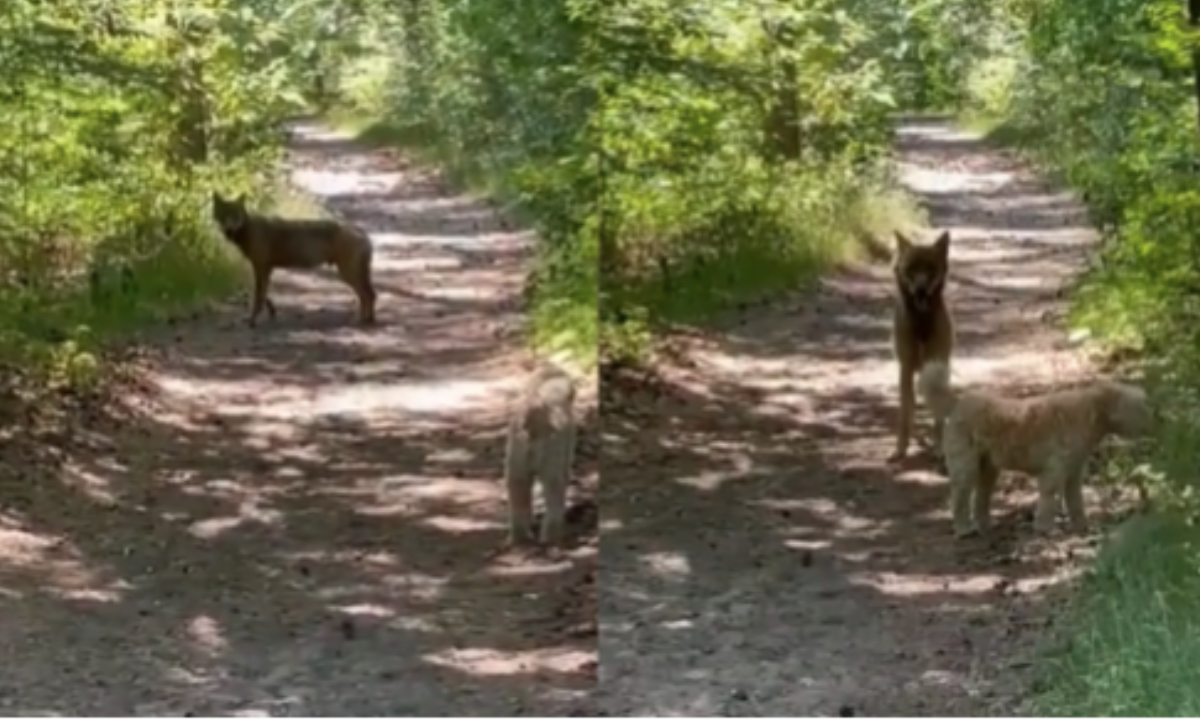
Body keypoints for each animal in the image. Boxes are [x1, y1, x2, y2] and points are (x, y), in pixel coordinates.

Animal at [211, 190, 376, 326]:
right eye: (223, 215)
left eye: (235, 216)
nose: (228, 230)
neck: (248, 229)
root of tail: (361, 231)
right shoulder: (266, 268)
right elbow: (263, 294)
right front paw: (270, 312)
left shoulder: (260, 267)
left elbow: (257, 296)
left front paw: (252, 320)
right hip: (353, 273)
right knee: (371, 295)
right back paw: (368, 319)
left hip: (348, 273)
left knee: (367, 295)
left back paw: (360, 320)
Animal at [504, 362, 578, 549]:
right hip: (550, 454)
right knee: (554, 487)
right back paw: (553, 537)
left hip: (517, 454)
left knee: (517, 486)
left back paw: (520, 537)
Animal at [892, 228, 955, 460]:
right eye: (911, 268)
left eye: (930, 268)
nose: (920, 289)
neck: (921, 323)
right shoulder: (905, 368)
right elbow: (904, 414)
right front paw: (900, 449)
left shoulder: (938, 363)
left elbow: (937, 418)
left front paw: (939, 448)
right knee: (910, 409)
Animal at [916, 362, 1152, 537]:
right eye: (1140, 406)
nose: (1155, 420)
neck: (1091, 412)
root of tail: (959, 403)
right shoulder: (1054, 470)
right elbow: (1049, 498)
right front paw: (1045, 528)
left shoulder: (1074, 473)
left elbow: (1075, 501)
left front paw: (1082, 527)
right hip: (965, 465)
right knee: (960, 496)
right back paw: (964, 529)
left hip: (988, 468)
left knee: (981, 497)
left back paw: (985, 525)